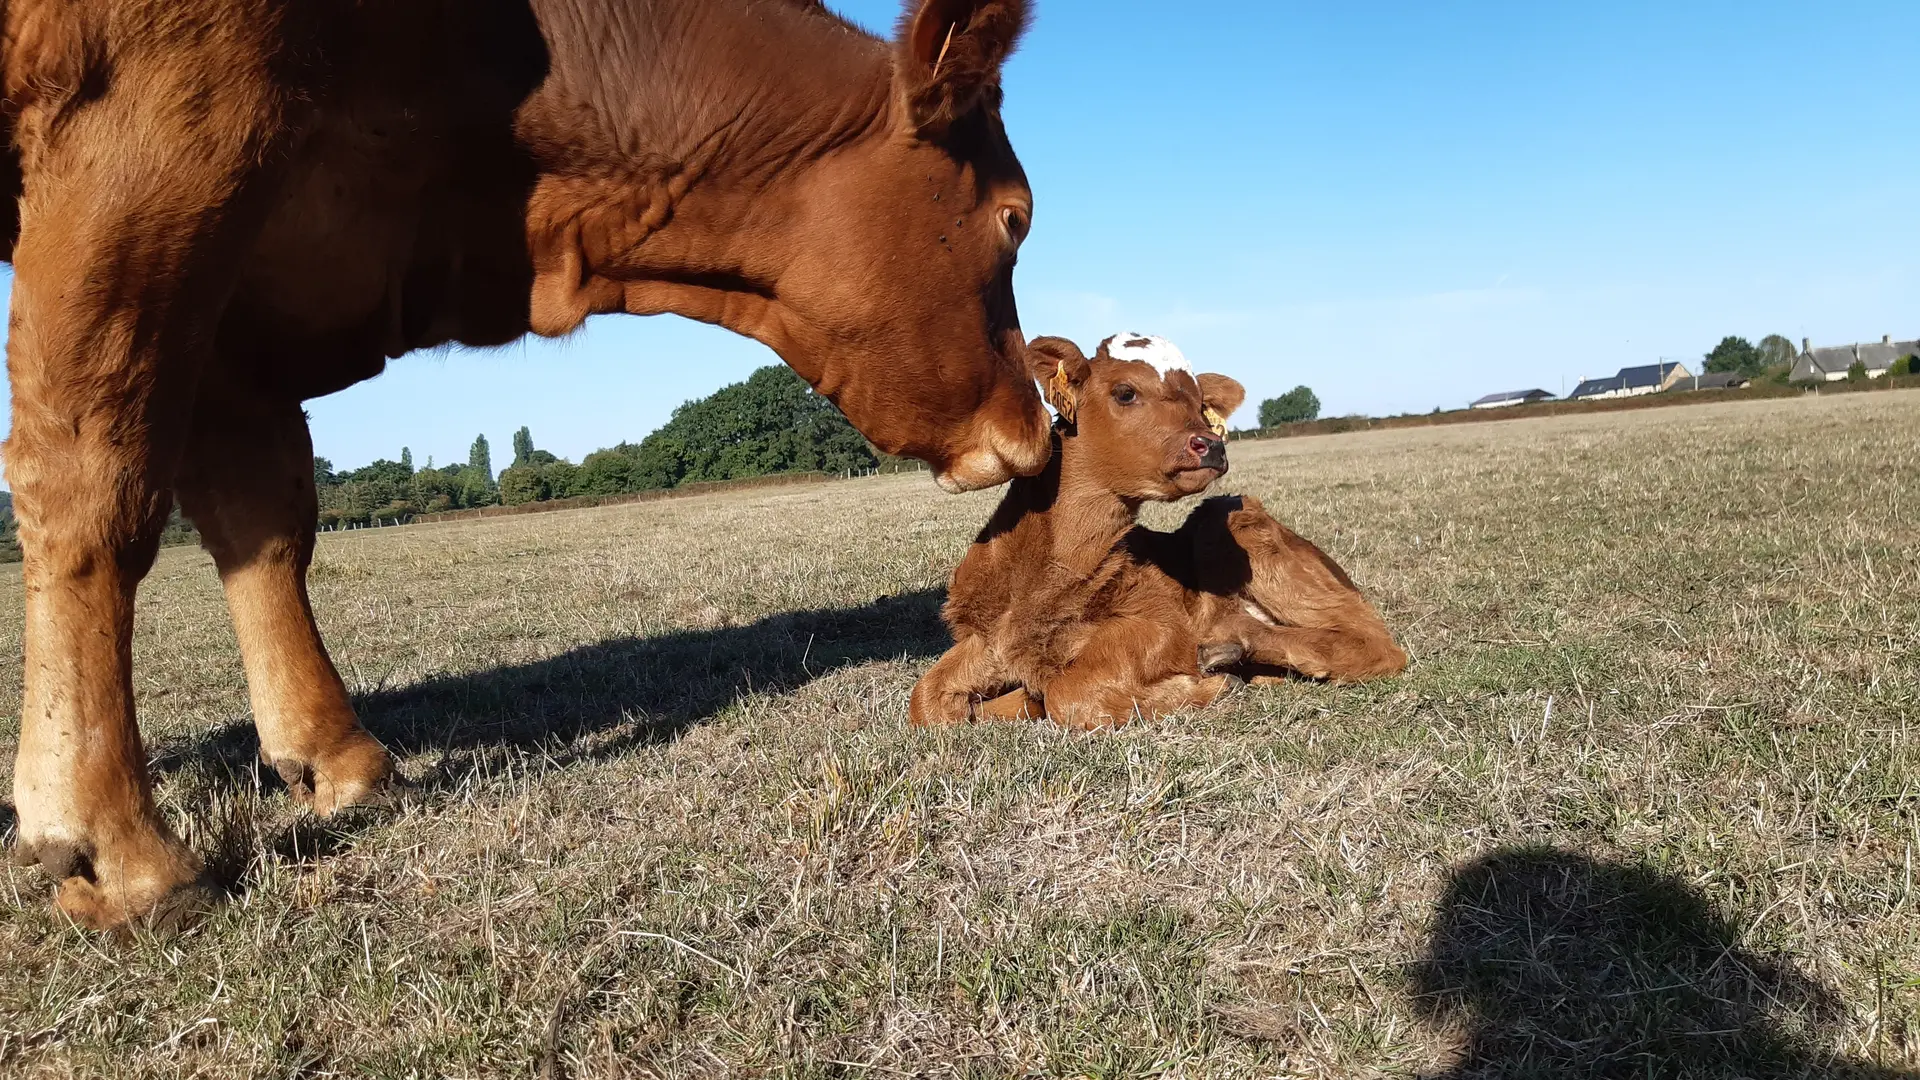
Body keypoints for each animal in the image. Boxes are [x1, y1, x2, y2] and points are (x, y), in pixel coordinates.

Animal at [0, 0, 1052, 926]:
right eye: (1016, 218)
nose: (1036, 428)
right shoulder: (152, 128)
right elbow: (92, 472)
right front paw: (115, 848)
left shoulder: (241, 286)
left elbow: (262, 517)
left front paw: (338, 759)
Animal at [906, 332, 1405, 726]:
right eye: (1125, 392)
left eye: (1201, 403)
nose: (1213, 445)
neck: (1039, 576)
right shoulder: (988, 637)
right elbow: (925, 700)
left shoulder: (1160, 623)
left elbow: (1071, 695)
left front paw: (1206, 688)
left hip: (1236, 527)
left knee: (1374, 642)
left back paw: (1231, 645)